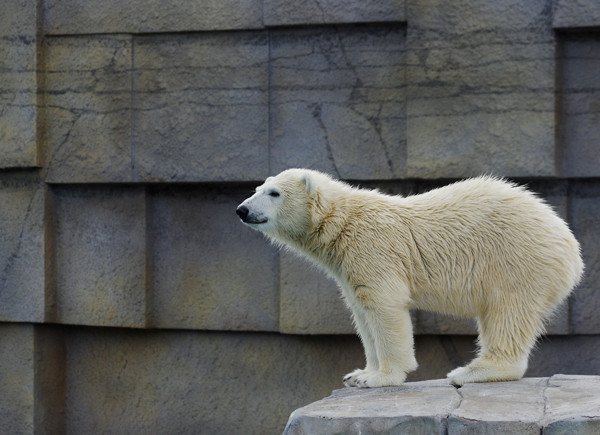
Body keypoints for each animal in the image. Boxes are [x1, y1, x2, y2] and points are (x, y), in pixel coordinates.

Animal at [237, 169, 584, 386]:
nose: (242, 209)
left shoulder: (372, 249)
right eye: (256, 189)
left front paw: (380, 377)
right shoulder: (347, 265)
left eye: (274, 192)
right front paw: (358, 374)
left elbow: (384, 306)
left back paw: (472, 371)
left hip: (516, 260)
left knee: (507, 312)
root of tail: (571, 247)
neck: (343, 221)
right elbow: (361, 312)